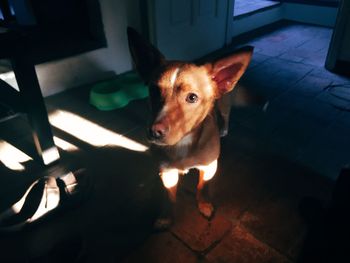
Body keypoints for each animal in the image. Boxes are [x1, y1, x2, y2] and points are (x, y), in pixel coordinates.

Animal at [127, 27, 253, 230]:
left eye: (192, 98)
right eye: (153, 91)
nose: (154, 132)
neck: (183, 143)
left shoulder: (209, 167)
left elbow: (202, 187)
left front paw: (204, 205)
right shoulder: (167, 173)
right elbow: (169, 196)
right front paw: (166, 216)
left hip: (225, 104)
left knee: (226, 116)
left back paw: (223, 130)